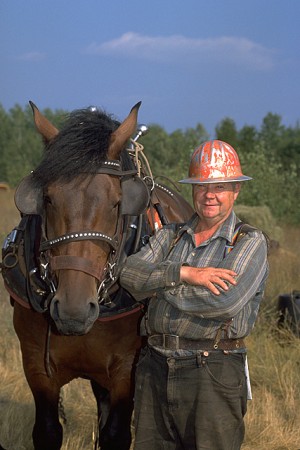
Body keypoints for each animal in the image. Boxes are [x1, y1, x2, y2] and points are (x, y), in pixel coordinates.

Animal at [1, 102, 192, 450]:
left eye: (117, 204)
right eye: (47, 199)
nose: (73, 311)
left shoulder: (126, 371)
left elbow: (115, 434)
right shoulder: (36, 367)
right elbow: (47, 431)